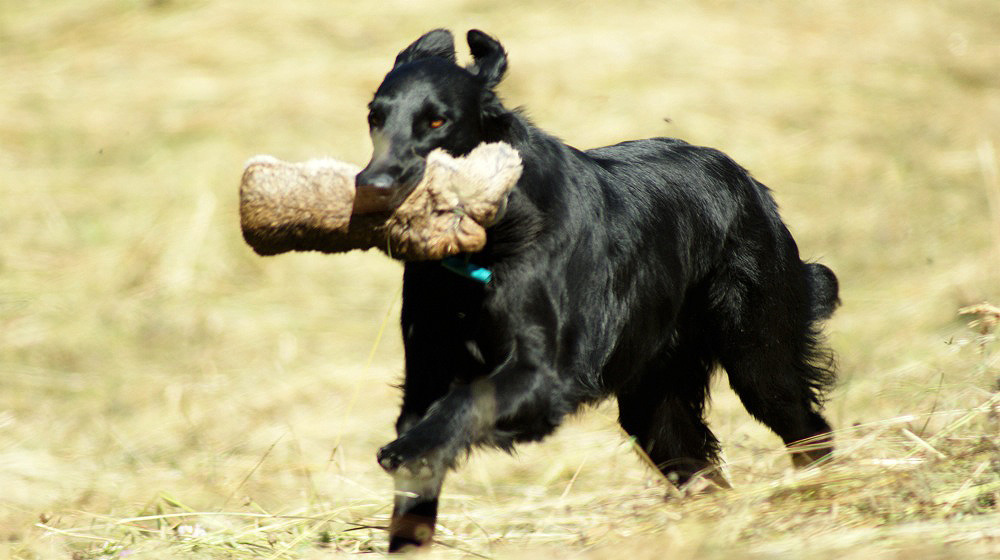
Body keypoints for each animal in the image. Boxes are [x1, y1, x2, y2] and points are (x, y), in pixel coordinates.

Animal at [356, 29, 840, 552]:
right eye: (375, 117)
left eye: (437, 120)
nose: (371, 186)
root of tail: (750, 185)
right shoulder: (425, 377)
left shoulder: (544, 375)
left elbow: (463, 403)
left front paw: (405, 449)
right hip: (654, 406)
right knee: (703, 471)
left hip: (757, 356)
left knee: (809, 429)